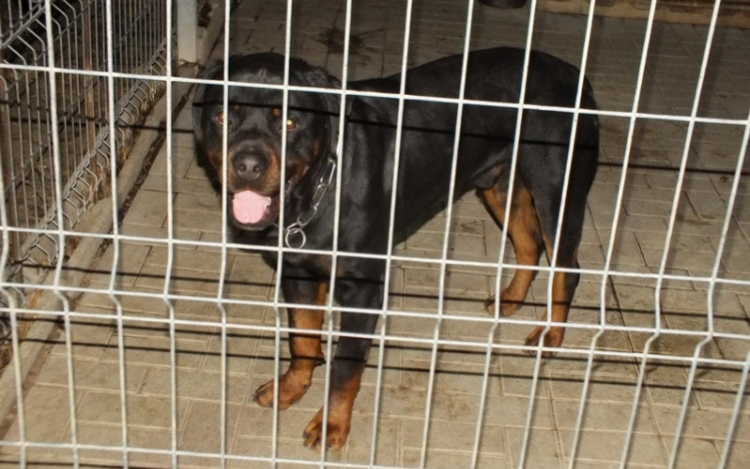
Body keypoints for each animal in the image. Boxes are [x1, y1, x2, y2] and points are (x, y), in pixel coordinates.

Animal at [193, 47, 599, 450]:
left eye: (290, 123)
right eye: (223, 117)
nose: (247, 164)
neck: (319, 190)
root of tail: (575, 74)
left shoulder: (364, 290)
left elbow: (345, 365)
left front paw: (331, 424)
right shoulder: (298, 273)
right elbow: (302, 339)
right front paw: (290, 387)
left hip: (556, 192)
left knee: (567, 268)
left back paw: (551, 335)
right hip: (499, 186)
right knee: (529, 245)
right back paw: (510, 298)